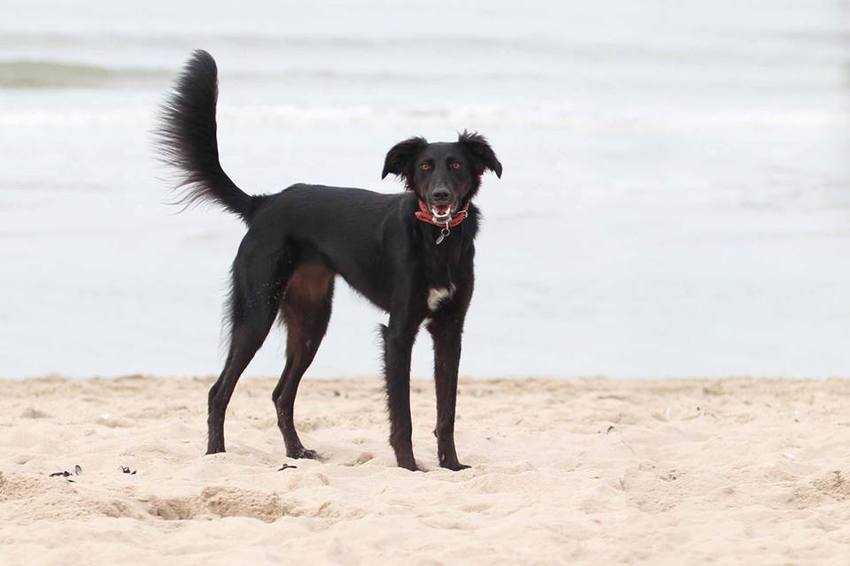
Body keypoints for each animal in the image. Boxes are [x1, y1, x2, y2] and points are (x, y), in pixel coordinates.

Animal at [156, 50, 502, 471]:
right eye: (423, 167)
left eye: (456, 165)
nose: (439, 196)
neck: (437, 239)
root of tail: (264, 203)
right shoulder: (398, 332)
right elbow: (402, 413)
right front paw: (408, 466)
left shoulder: (450, 330)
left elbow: (446, 410)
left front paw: (451, 466)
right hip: (257, 312)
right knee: (218, 390)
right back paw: (216, 455)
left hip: (310, 321)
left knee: (281, 393)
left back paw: (296, 452)